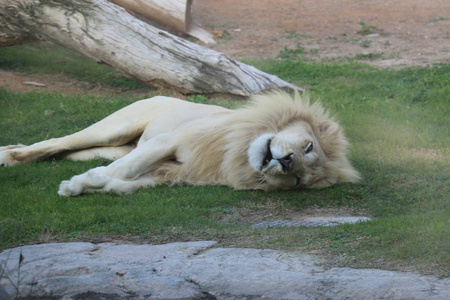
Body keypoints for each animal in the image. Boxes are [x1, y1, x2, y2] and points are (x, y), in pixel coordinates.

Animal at [0, 91, 358, 196]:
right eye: (308, 147)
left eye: (297, 180)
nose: (286, 162)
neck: (235, 153)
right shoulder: (168, 141)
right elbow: (125, 169)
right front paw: (73, 185)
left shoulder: (169, 173)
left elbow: (121, 183)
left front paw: (86, 184)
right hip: (117, 129)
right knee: (56, 142)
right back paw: (8, 156)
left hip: (114, 145)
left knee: (71, 152)